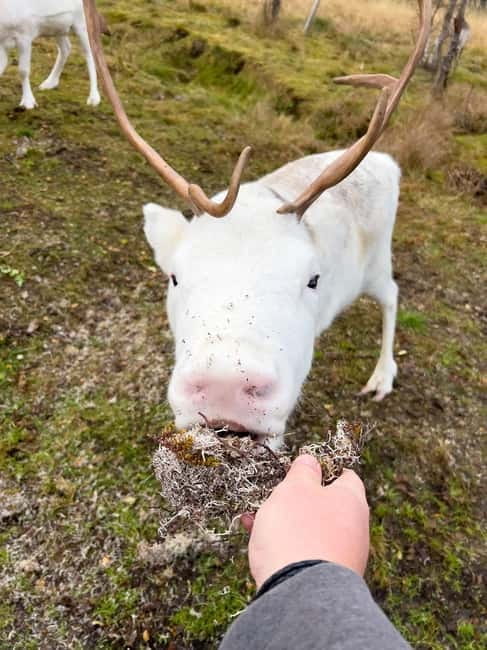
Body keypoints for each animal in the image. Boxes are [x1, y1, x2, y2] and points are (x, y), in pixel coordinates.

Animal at [84, 0, 432, 449]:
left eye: (313, 279)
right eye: (174, 277)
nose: (224, 388)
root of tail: (389, 163)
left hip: (375, 262)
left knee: (391, 293)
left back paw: (382, 377)